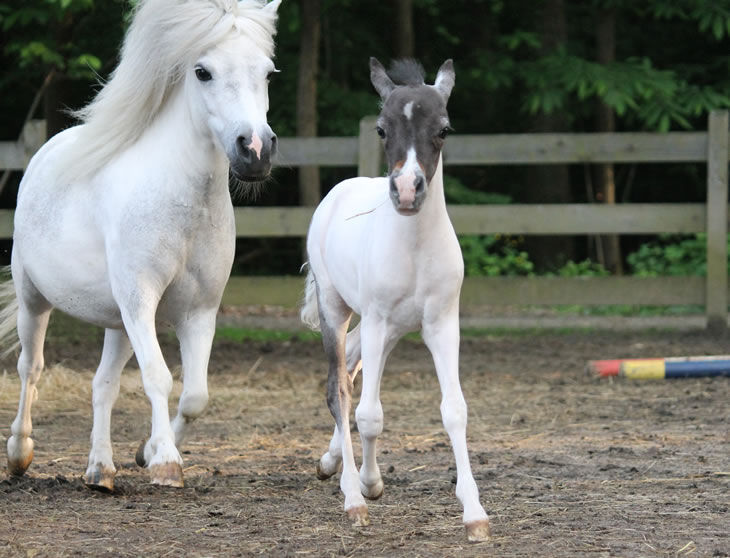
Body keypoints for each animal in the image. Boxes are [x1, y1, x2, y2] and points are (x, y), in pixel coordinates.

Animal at [0, 0, 278, 490]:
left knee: (102, 384)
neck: (183, 204)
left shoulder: (199, 310)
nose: (256, 151)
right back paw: (19, 453)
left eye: (267, 72)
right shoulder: (141, 299)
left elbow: (195, 395)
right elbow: (158, 378)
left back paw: (100, 469)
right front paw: (166, 462)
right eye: (203, 72)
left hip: (119, 321)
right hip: (37, 299)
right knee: (30, 369)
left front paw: (145, 453)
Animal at [302, 59, 490, 544]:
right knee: (340, 389)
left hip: (387, 331)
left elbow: (454, 410)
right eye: (382, 129)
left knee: (354, 373)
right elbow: (367, 413)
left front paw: (475, 514)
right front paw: (361, 495)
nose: (407, 191)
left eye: (444, 129)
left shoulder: (442, 324)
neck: (414, 248)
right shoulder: (375, 319)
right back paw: (352, 487)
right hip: (341, 312)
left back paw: (332, 464)